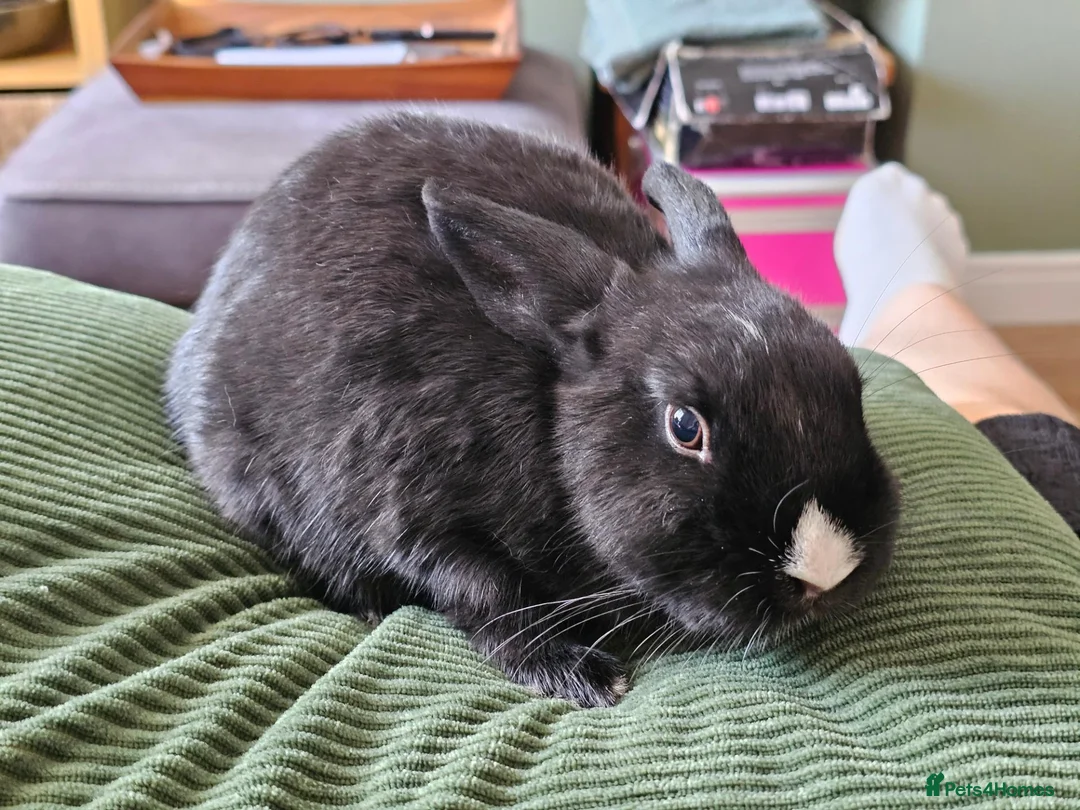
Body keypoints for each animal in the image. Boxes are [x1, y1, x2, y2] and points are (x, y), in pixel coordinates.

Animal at [164, 112, 900, 708]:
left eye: (851, 387)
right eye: (686, 427)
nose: (826, 569)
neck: (549, 415)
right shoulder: (409, 515)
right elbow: (486, 593)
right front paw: (582, 675)